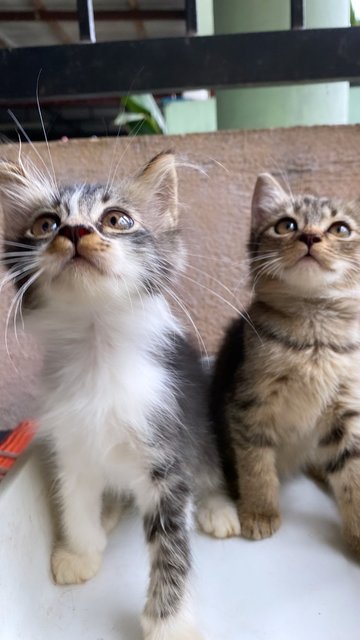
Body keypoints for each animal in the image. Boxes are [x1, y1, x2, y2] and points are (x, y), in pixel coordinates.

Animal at [1, 154, 240, 640]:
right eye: (45, 224)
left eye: (117, 220)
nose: (74, 231)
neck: (98, 354)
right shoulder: (68, 442)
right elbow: (73, 500)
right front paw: (80, 551)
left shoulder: (168, 453)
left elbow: (172, 544)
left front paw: (169, 622)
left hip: (201, 424)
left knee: (208, 467)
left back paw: (217, 507)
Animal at [211, 172, 360, 552]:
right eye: (286, 225)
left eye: (341, 229)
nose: (310, 236)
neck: (314, 338)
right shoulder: (248, 406)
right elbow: (256, 466)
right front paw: (260, 511)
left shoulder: (346, 408)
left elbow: (352, 470)